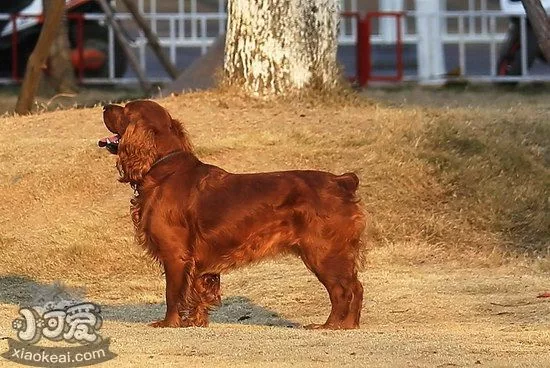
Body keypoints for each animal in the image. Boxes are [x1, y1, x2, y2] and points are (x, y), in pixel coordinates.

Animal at [100, 100, 366, 330]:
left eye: (126, 109)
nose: (105, 106)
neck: (164, 170)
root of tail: (341, 181)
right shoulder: (199, 262)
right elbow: (197, 291)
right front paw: (195, 322)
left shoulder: (175, 254)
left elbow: (172, 293)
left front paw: (168, 323)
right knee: (357, 287)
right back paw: (349, 325)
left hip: (323, 252)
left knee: (343, 290)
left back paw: (331, 326)